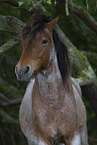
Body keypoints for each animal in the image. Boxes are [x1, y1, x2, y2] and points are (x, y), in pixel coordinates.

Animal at [14, 13, 88, 145]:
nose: (21, 71)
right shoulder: (44, 139)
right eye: (23, 41)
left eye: (44, 41)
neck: (54, 103)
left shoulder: (73, 137)